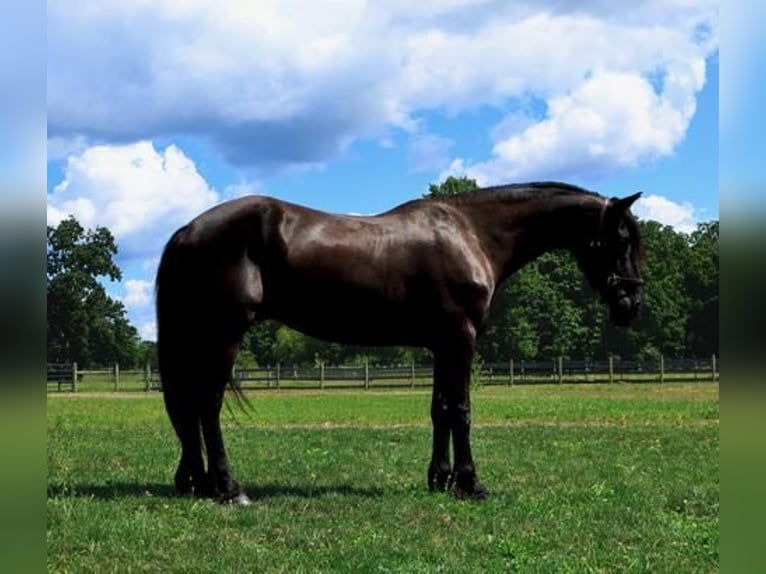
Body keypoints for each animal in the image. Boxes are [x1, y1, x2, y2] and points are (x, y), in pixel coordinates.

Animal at [156, 181, 644, 504]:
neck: (473, 233)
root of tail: (188, 230)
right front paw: (471, 484)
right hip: (223, 335)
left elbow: (440, 410)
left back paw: (196, 482)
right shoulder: (461, 338)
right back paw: (229, 488)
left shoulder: (443, 344)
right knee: (207, 407)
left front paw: (440, 479)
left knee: (189, 408)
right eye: (620, 238)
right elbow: (461, 410)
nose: (632, 304)